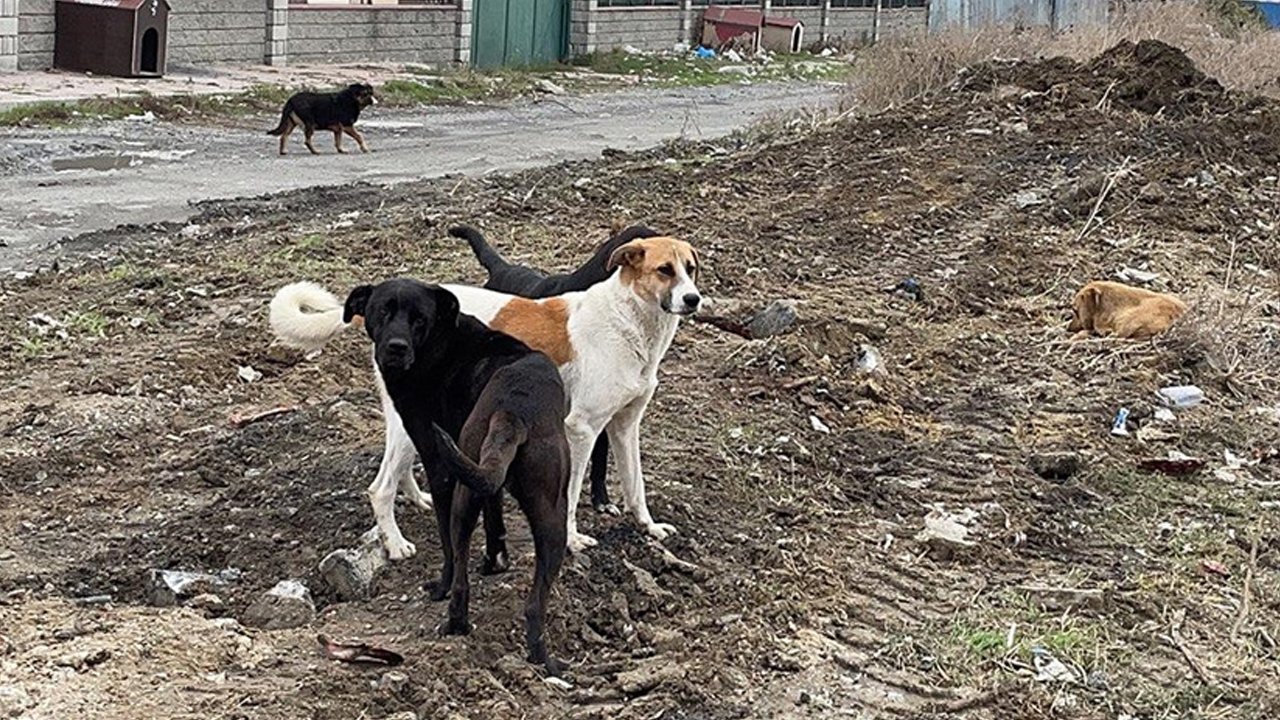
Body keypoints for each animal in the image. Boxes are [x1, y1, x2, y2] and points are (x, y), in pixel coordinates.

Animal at [348, 275, 573, 671]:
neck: (440, 344)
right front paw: (495, 560)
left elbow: (449, 546)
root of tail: (513, 408)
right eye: (382, 311)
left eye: (419, 318)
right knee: (520, 599)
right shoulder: (480, 473)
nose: (395, 349)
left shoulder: (441, 468)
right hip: (544, 515)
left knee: (465, 569)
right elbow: (494, 512)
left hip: (485, 499)